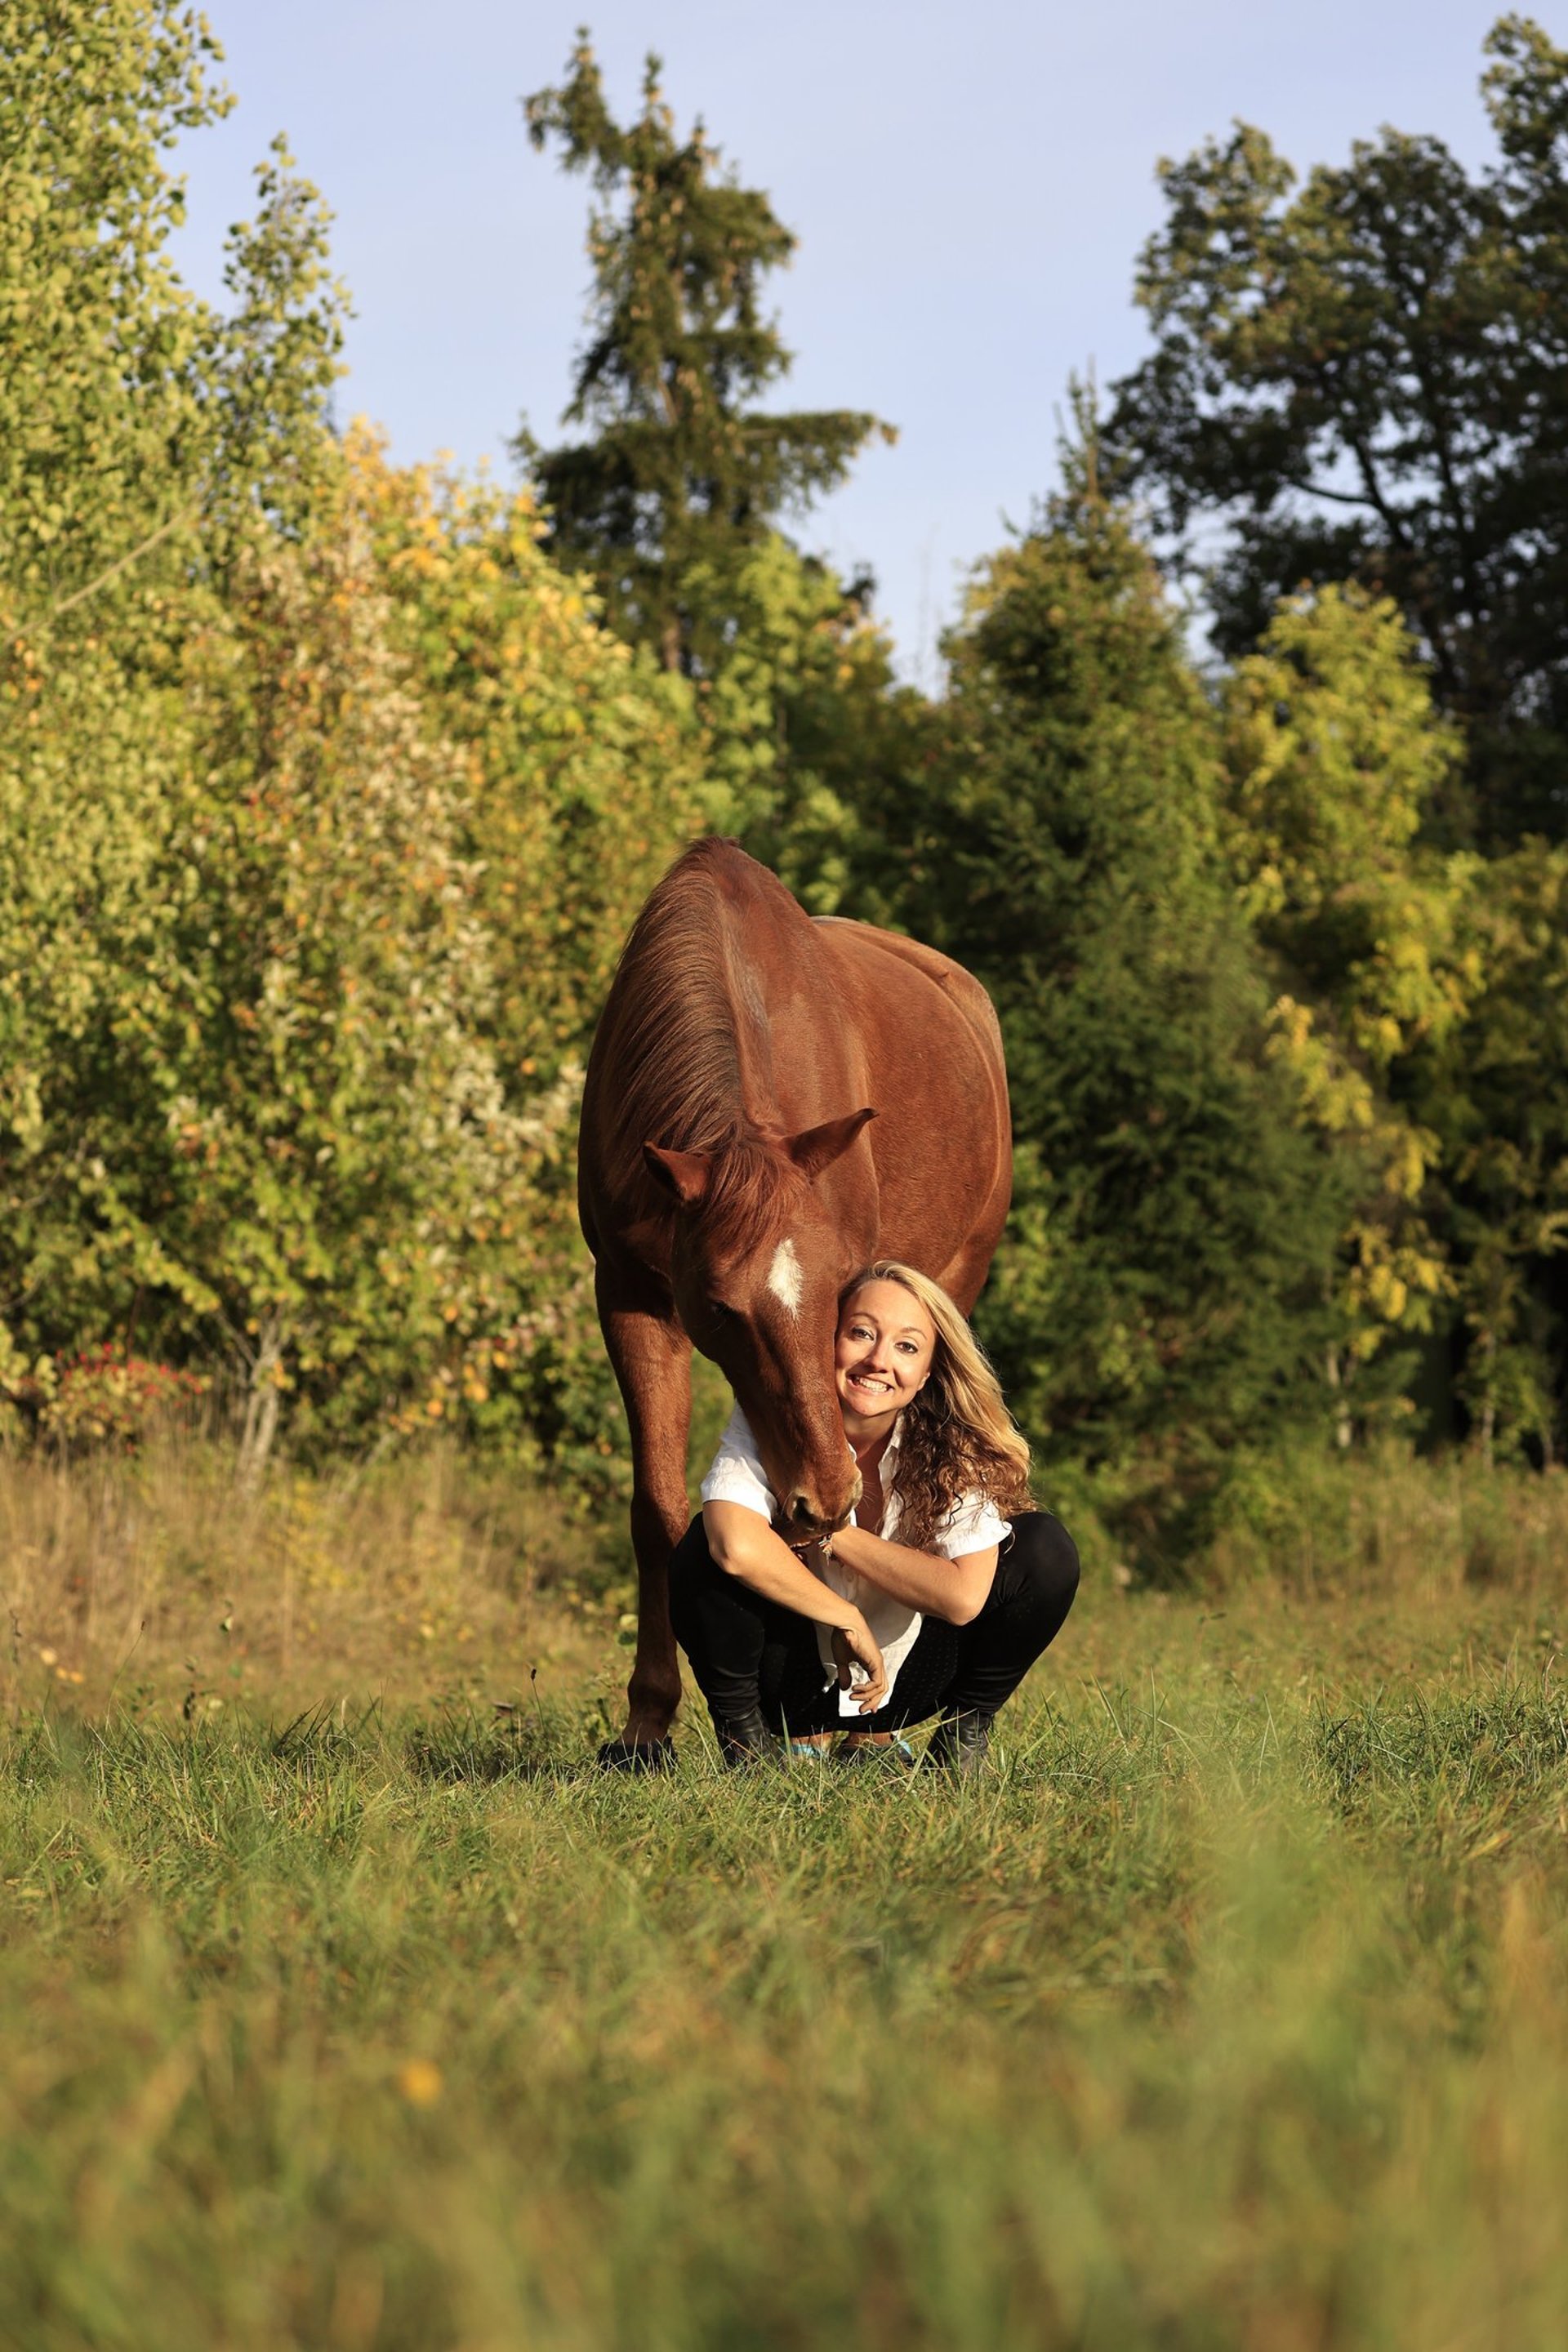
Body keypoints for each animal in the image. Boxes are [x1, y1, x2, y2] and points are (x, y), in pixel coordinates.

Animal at [582, 842, 1010, 1768]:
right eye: (718, 1305)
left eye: (845, 1281)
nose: (822, 1491)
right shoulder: (630, 1296)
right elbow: (659, 1510)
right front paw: (648, 1723)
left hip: (957, 1278)